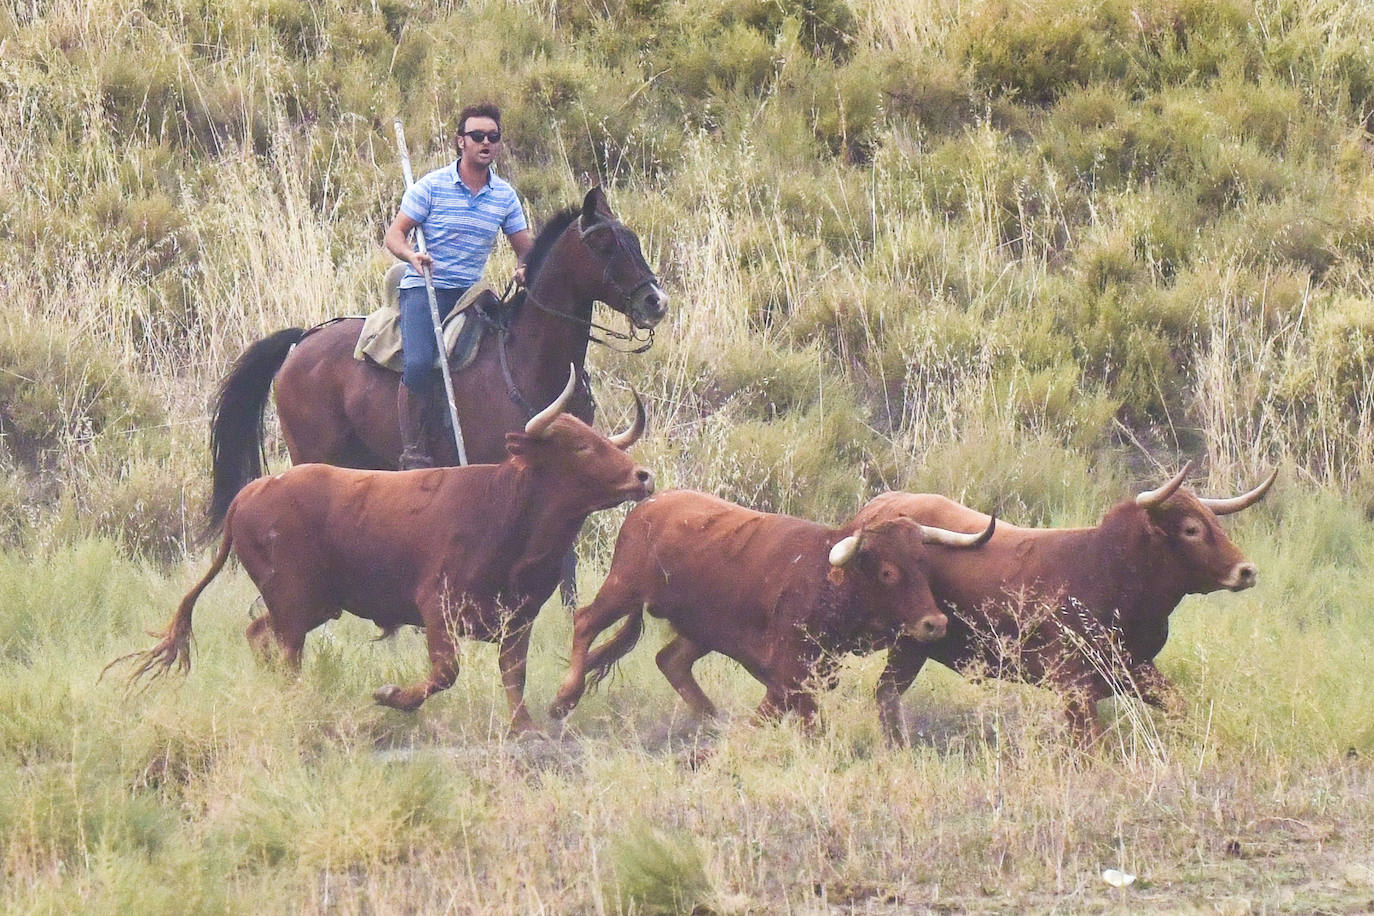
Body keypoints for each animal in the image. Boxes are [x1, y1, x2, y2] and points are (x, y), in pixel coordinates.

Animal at [118, 368, 654, 736]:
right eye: (581, 447)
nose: (642, 476)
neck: (506, 513)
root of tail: (249, 494)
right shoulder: (437, 608)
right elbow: (445, 672)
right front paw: (391, 695)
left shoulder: (518, 619)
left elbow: (513, 676)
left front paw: (525, 728)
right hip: (294, 600)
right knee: (286, 650)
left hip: (312, 604)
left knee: (259, 634)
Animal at [204, 184, 670, 530]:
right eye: (606, 245)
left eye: (634, 240)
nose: (655, 301)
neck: (524, 361)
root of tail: (302, 341)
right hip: (314, 454)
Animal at [552, 491, 994, 736]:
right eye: (887, 572)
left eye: (924, 563)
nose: (935, 623)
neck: (823, 579)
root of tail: (650, 504)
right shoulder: (791, 672)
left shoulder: (804, 675)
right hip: (623, 589)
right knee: (585, 620)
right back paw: (564, 697)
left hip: (701, 629)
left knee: (670, 660)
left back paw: (711, 718)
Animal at [857, 466, 1275, 747]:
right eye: (1190, 529)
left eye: (1215, 524)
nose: (1247, 571)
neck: (1108, 568)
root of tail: (875, 510)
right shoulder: (1074, 686)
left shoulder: (1135, 669)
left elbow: (1179, 706)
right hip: (908, 646)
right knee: (886, 694)